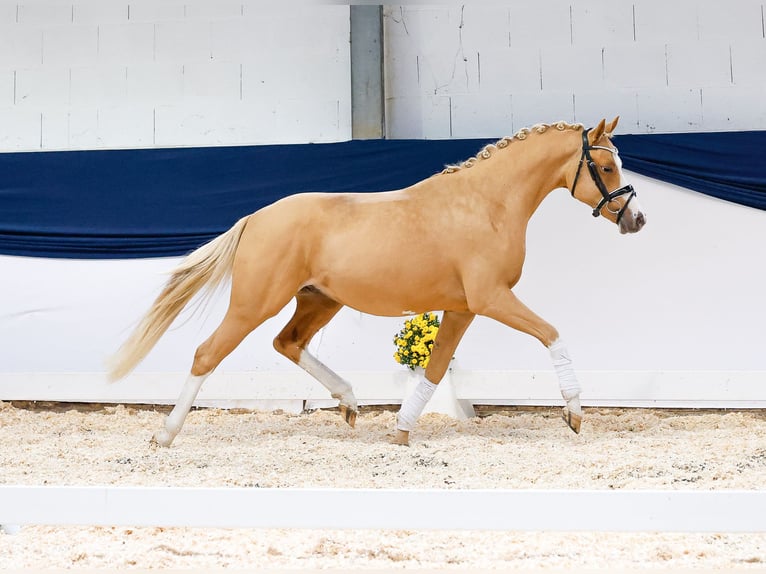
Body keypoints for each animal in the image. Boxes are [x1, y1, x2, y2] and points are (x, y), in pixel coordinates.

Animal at [109, 118, 648, 450]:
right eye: (605, 166)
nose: (636, 219)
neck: (486, 203)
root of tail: (255, 219)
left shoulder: (462, 307)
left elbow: (435, 369)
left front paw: (402, 431)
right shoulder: (491, 298)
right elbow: (552, 334)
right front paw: (574, 414)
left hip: (319, 302)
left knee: (288, 343)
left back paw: (350, 403)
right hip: (254, 302)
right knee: (208, 353)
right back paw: (165, 435)